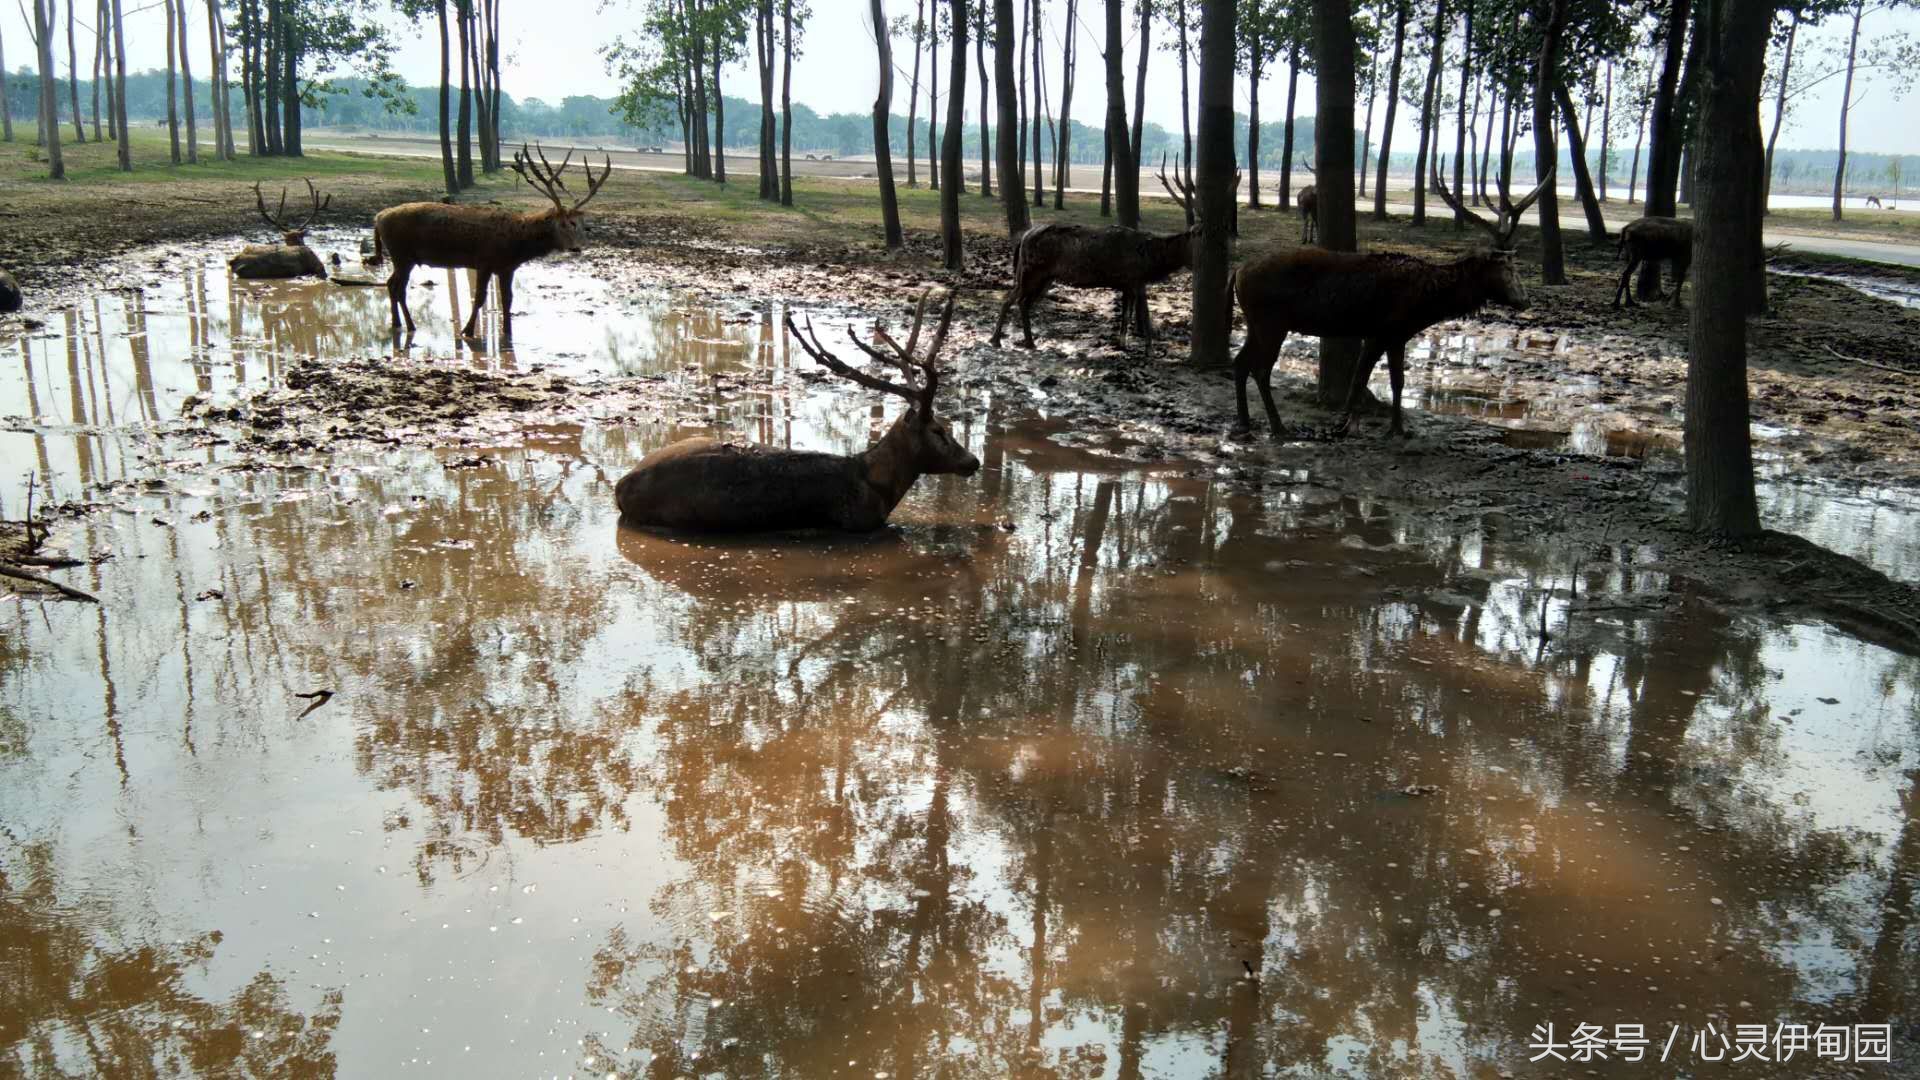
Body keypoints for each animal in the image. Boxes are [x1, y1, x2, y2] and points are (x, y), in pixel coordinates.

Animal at [369, 143, 610, 339]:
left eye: (581, 224)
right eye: (564, 224)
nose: (576, 247)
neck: (516, 244)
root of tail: (378, 218)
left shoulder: (507, 268)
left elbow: (508, 299)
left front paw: (508, 332)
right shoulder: (484, 261)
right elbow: (479, 298)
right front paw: (467, 331)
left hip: (401, 257)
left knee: (390, 283)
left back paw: (397, 322)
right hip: (402, 254)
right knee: (397, 287)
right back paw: (410, 325)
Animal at [989, 217, 1198, 353]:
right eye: (1194, 243)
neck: (1152, 261)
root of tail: (1023, 238)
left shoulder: (1128, 284)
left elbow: (1126, 314)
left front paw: (1122, 344)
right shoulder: (1135, 279)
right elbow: (1143, 315)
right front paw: (1149, 350)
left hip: (1044, 278)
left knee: (1023, 302)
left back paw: (1028, 342)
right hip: (1030, 271)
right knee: (1011, 299)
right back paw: (996, 339)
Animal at [1229, 157, 1552, 440]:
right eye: (1508, 267)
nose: (1525, 301)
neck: (1425, 304)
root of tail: (1237, 272)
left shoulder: (1395, 334)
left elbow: (1389, 381)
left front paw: (1383, 427)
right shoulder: (1384, 329)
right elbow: (1370, 380)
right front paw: (1358, 426)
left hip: (1255, 322)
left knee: (1240, 362)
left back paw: (1245, 424)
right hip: (1271, 321)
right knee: (1260, 369)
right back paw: (1277, 426)